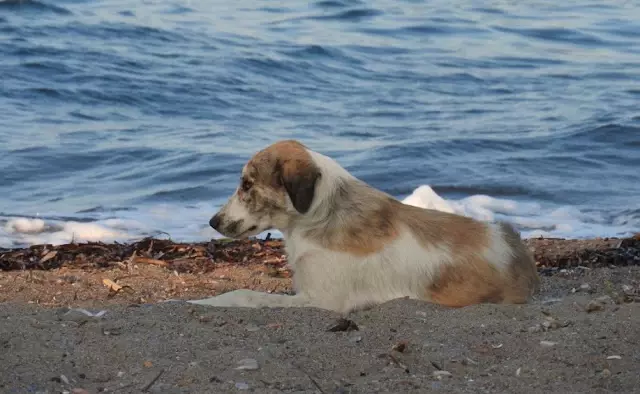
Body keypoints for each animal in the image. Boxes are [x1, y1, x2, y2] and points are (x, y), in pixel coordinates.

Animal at [190, 140, 540, 316]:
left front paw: (201, 302)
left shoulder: (322, 300)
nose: (212, 222)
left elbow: (244, 294)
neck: (320, 215)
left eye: (247, 184)